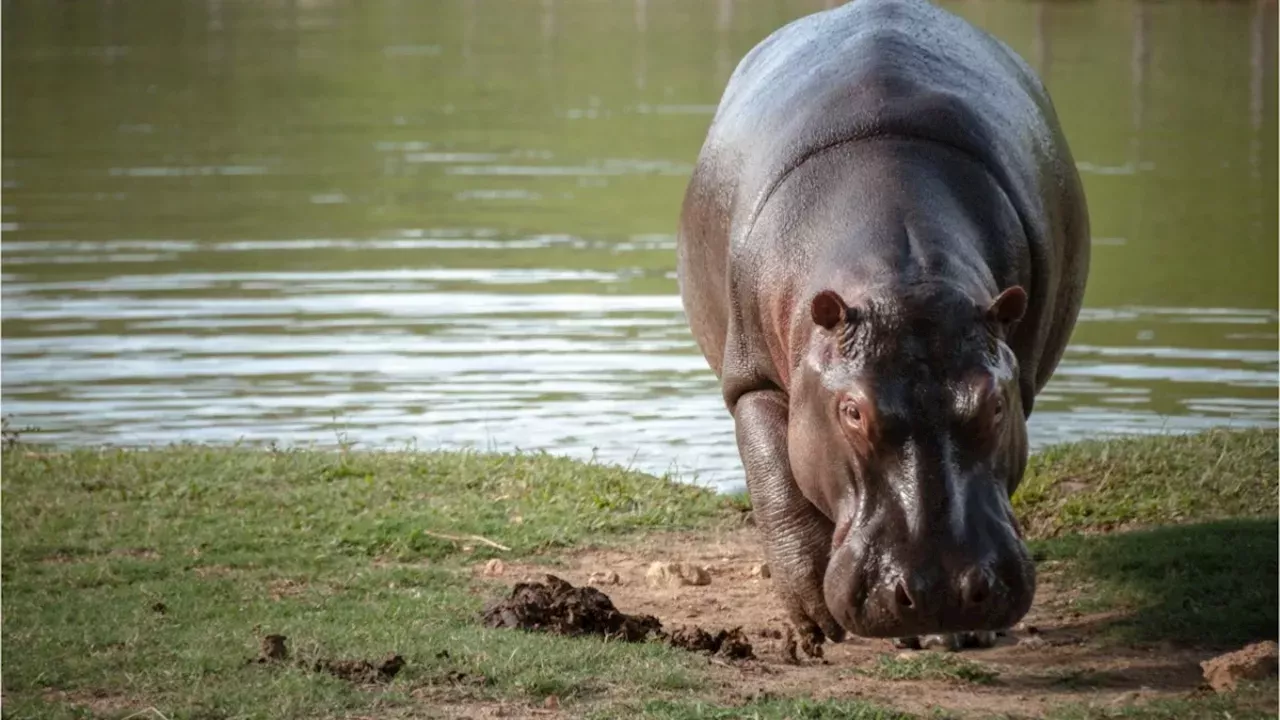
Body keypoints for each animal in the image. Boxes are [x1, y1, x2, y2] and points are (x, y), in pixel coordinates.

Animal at [675, 0, 1085, 645]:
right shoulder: (752, 378)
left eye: (996, 404)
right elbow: (776, 483)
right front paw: (813, 621)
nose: (942, 592)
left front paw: (954, 636)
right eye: (852, 412)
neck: (902, 277)